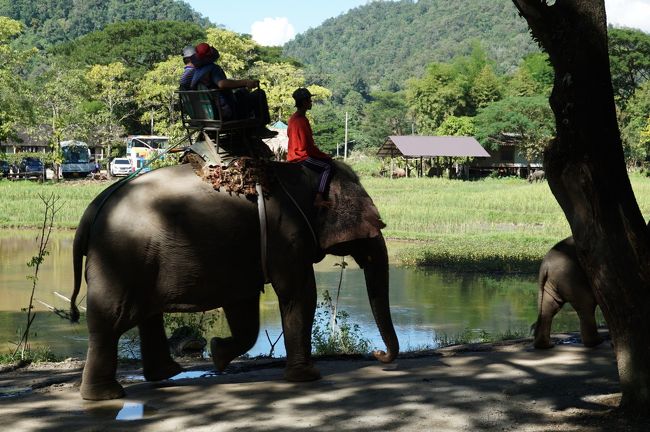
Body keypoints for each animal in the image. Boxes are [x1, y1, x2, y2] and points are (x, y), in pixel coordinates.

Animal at [69, 160, 394, 400]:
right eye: (374, 224)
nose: (378, 355)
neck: (306, 173)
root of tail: (91, 210)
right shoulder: (287, 234)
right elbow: (298, 293)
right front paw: (307, 378)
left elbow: (244, 306)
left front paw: (217, 355)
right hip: (121, 257)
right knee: (111, 320)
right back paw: (106, 395)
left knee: (145, 316)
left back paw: (165, 374)